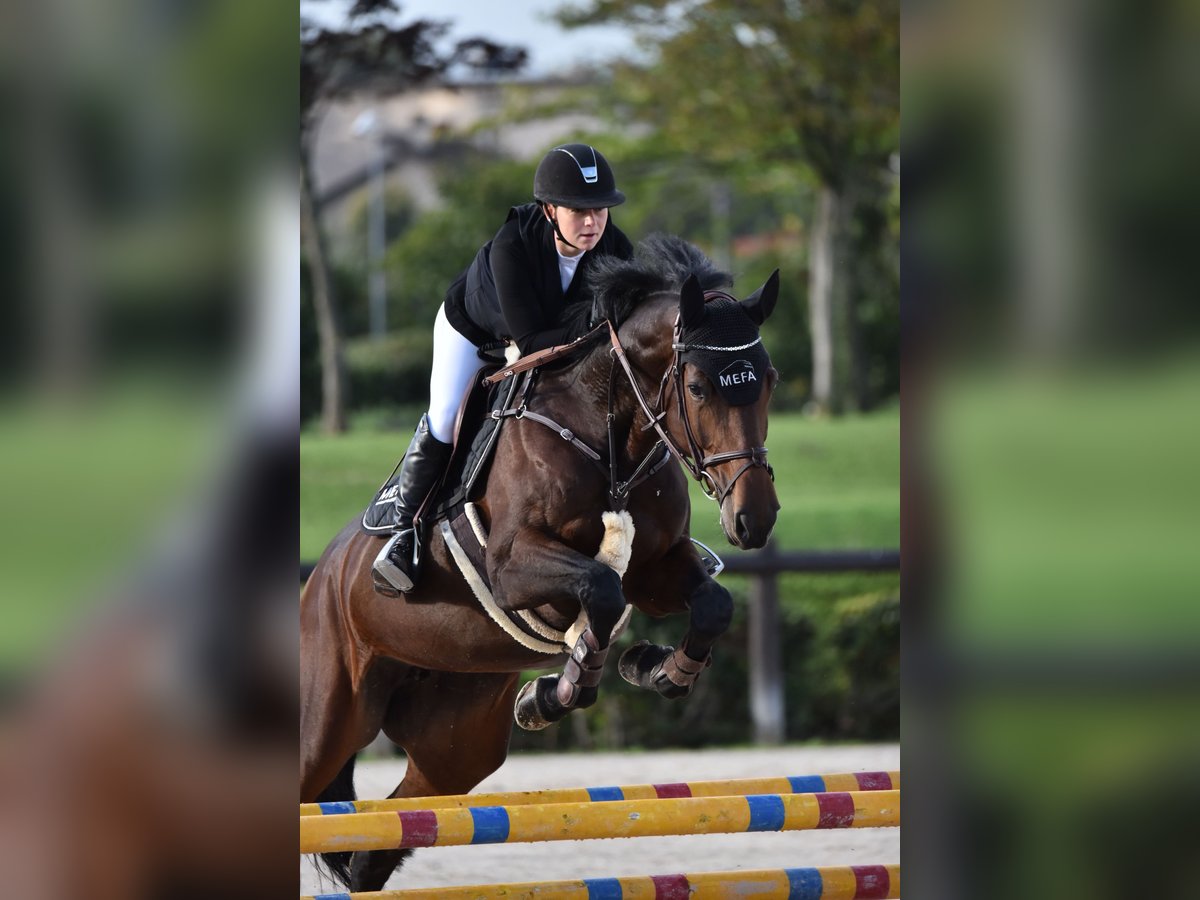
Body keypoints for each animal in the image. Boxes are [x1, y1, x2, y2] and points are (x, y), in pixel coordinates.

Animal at [300, 234, 780, 892]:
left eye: (769, 381)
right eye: (701, 388)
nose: (754, 520)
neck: (609, 438)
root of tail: (319, 580)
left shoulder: (655, 570)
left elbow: (711, 603)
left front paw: (656, 670)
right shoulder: (513, 568)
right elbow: (600, 590)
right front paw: (562, 688)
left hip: (456, 740)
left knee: (385, 838)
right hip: (328, 720)